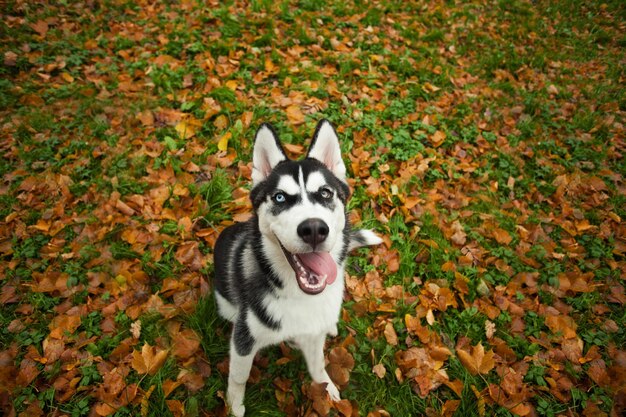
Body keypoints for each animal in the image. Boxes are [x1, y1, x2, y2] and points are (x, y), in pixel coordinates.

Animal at [212, 118, 380, 414]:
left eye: (325, 193)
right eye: (279, 197)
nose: (313, 229)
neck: (299, 295)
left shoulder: (313, 334)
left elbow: (319, 366)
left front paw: (327, 390)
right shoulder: (244, 340)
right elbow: (239, 376)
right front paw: (234, 406)